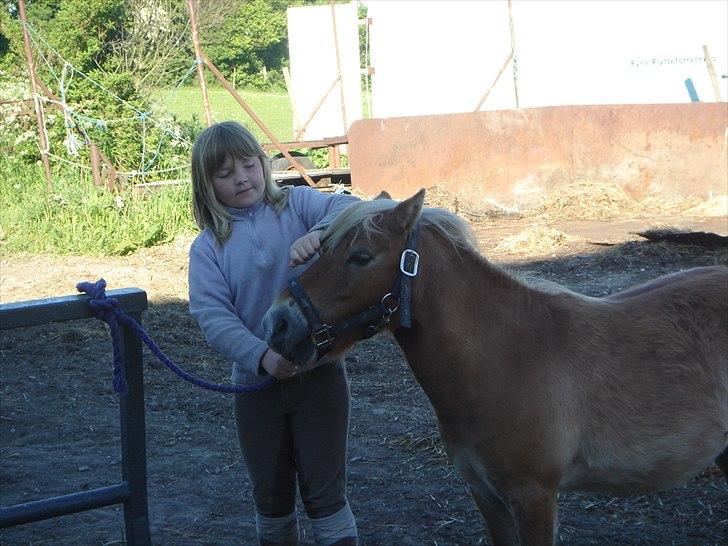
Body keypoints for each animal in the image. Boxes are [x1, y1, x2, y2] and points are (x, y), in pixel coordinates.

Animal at [262, 189, 728, 540]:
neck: (508, 358)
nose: (278, 323)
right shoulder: (486, 496)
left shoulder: (533, 497)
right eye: (321, 248)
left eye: (360, 256)